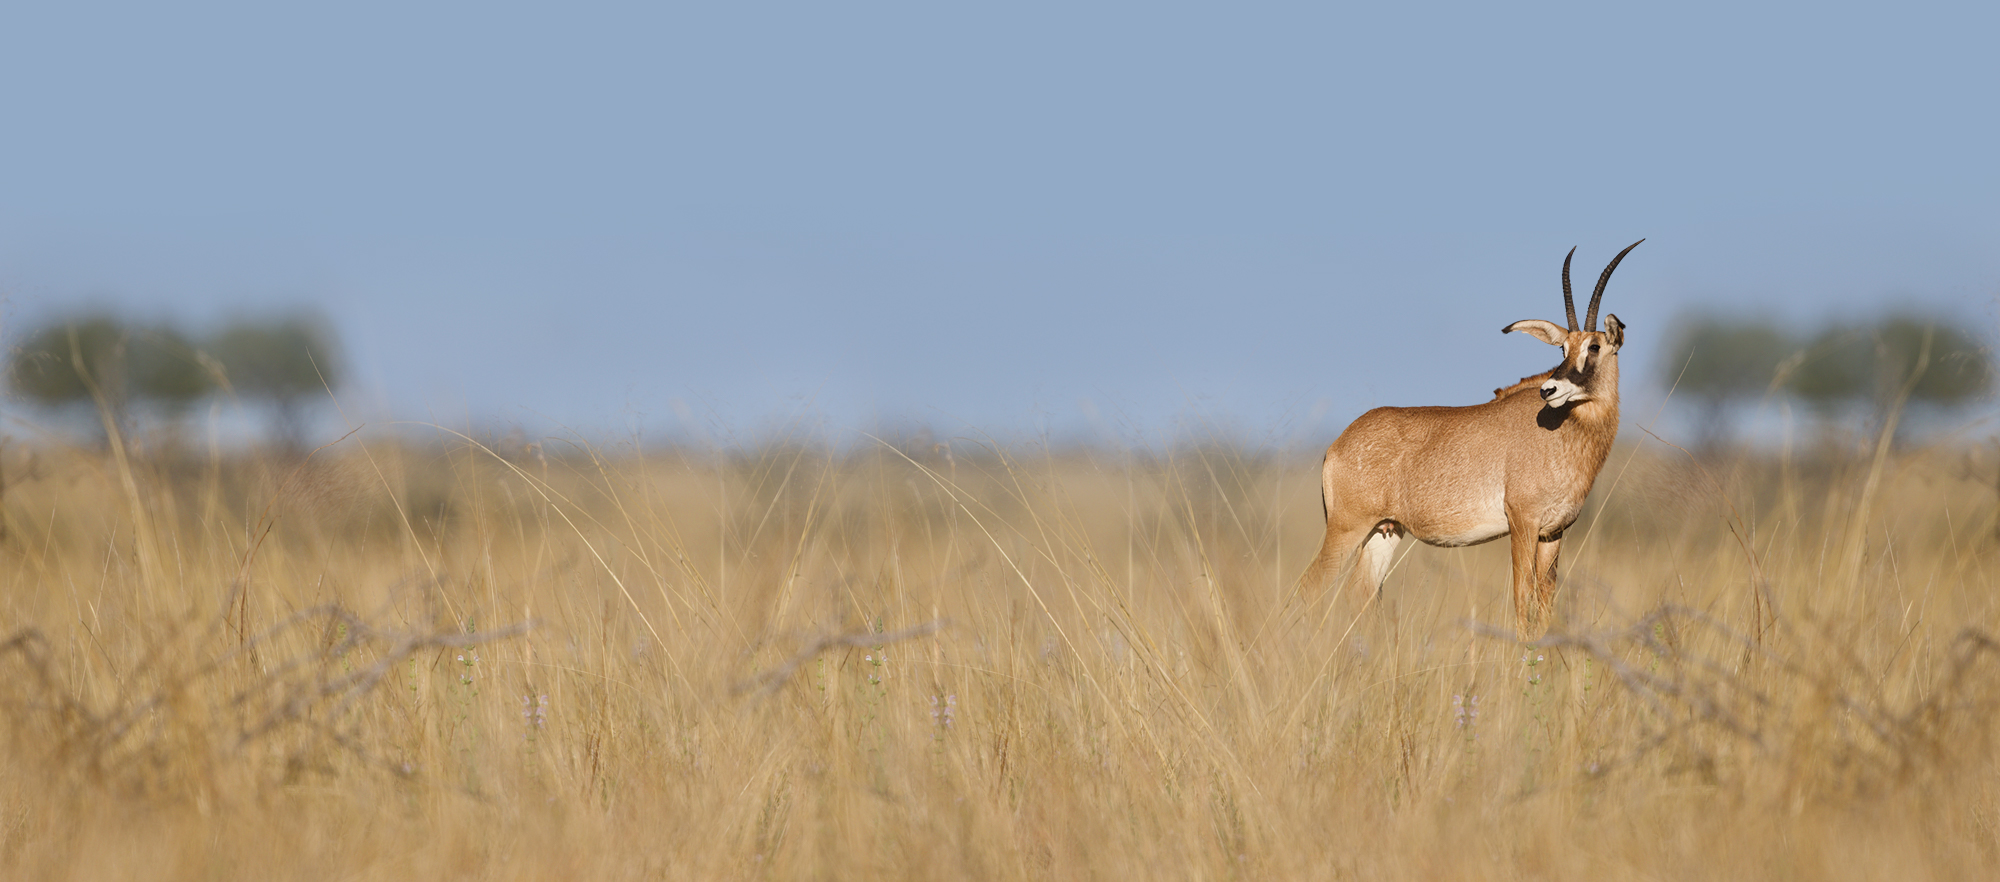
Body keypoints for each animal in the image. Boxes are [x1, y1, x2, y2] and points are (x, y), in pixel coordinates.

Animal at [1298, 241, 1643, 637]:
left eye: (1595, 347)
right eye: (1563, 349)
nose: (1550, 390)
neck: (1565, 427)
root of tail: (1336, 446)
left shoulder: (1553, 533)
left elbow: (1546, 606)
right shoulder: (1522, 523)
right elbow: (1522, 599)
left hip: (1384, 531)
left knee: (1361, 593)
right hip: (1347, 528)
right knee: (1309, 589)